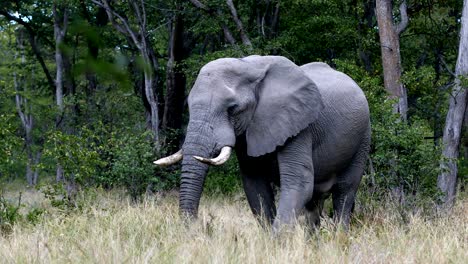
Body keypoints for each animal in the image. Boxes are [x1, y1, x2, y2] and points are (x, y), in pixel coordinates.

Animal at [155, 56, 372, 231]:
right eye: (189, 106)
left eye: (232, 109)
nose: (196, 228)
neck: (249, 66)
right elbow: (255, 185)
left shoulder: (298, 125)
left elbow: (300, 181)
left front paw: (277, 244)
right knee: (315, 202)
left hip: (363, 137)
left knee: (344, 191)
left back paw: (339, 238)